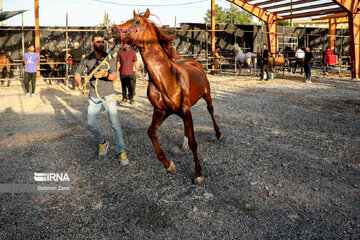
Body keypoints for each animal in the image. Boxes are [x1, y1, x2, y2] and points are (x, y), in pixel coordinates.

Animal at [105, 8, 222, 183]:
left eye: (136, 22)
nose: (110, 31)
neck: (166, 78)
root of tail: (195, 62)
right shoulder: (161, 111)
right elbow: (151, 132)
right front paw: (169, 165)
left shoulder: (184, 109)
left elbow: (194, 142)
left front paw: (198, 174)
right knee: (185, 125)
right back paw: (183, 144)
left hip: (206, 95)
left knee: (211, 110)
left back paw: (218, 133)